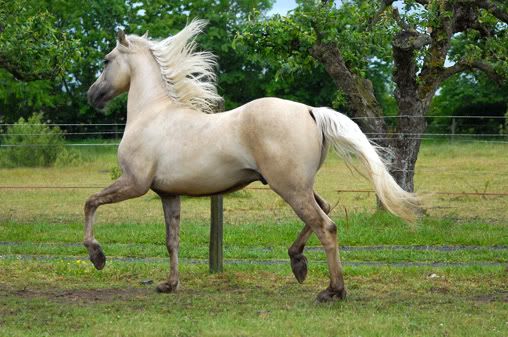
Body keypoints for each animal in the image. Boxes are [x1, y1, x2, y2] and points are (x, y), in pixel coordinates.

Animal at [85, 19, 416, 300]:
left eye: (106, 60)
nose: (92, 95)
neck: (153, 114)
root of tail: (311, 111)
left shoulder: (134, 183)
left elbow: (91, 202)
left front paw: (97, 257)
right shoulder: (168, 194)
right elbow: (172, 240)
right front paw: (169, 284)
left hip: (289, 187)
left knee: (326, 226)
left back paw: (332, 291)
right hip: (299, 185)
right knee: (324, 208)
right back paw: (298, 262)